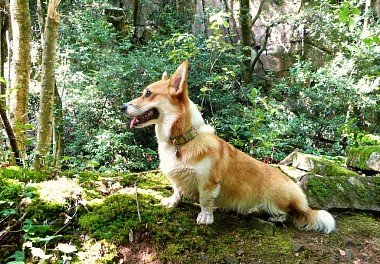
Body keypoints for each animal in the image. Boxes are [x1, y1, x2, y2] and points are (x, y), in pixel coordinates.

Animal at [121, 60, 336, 233]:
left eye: (148, 93)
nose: (122, 106)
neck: (183, 140)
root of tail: (302, 201)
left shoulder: (208, 182)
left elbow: (205, 201)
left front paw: (205, 217)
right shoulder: (178, 179)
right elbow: (177, 190)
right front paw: (172, 202)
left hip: (274, 195)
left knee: (288, 213)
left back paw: (273, 216)